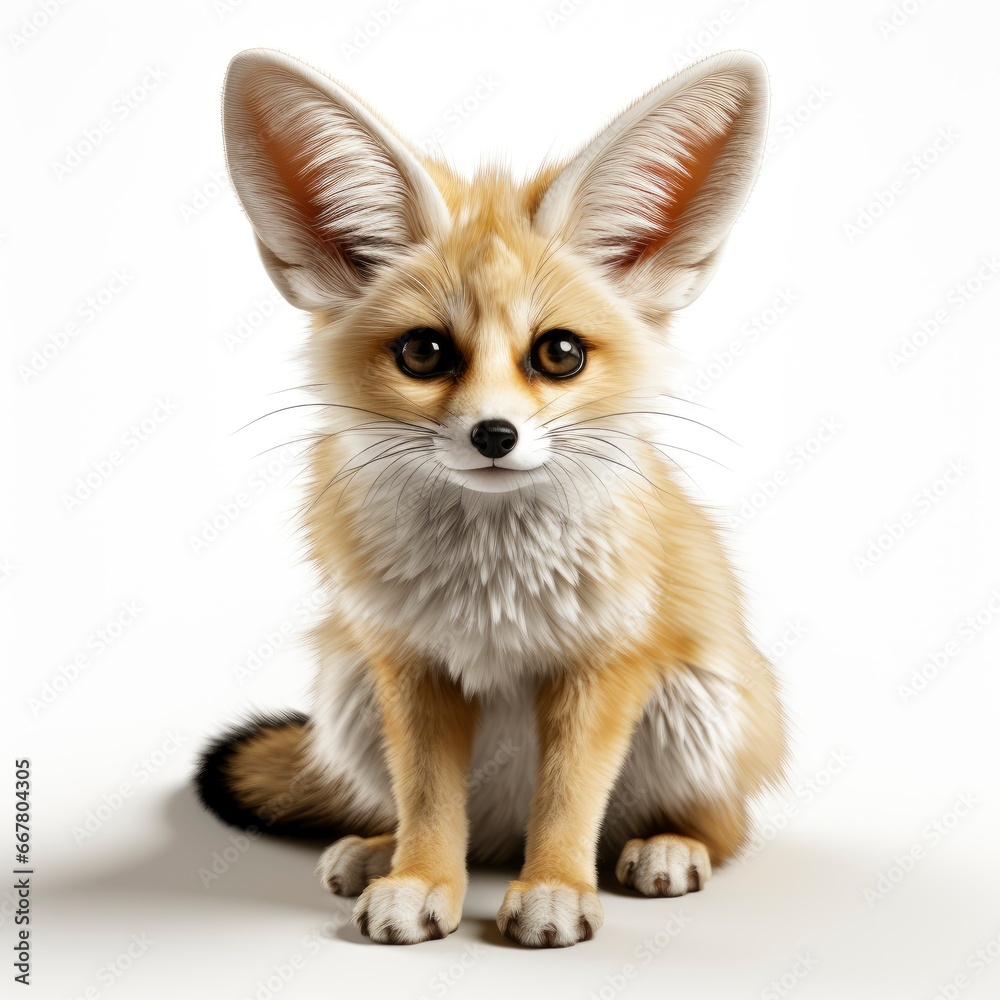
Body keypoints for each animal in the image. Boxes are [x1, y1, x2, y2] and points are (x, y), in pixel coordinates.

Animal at [195, 47, 787, 948]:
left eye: (559, 354)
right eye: (425, 352)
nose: (494, 435)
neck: (490, 586)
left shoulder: (603, 662)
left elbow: (570, 799)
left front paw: (555, 889)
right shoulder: (409, 662)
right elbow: (429, 800)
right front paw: (419, 879)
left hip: (698, 703)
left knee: (723, 826)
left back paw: (667, 845)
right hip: (349, 685)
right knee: (456, 828)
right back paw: (382, 849)